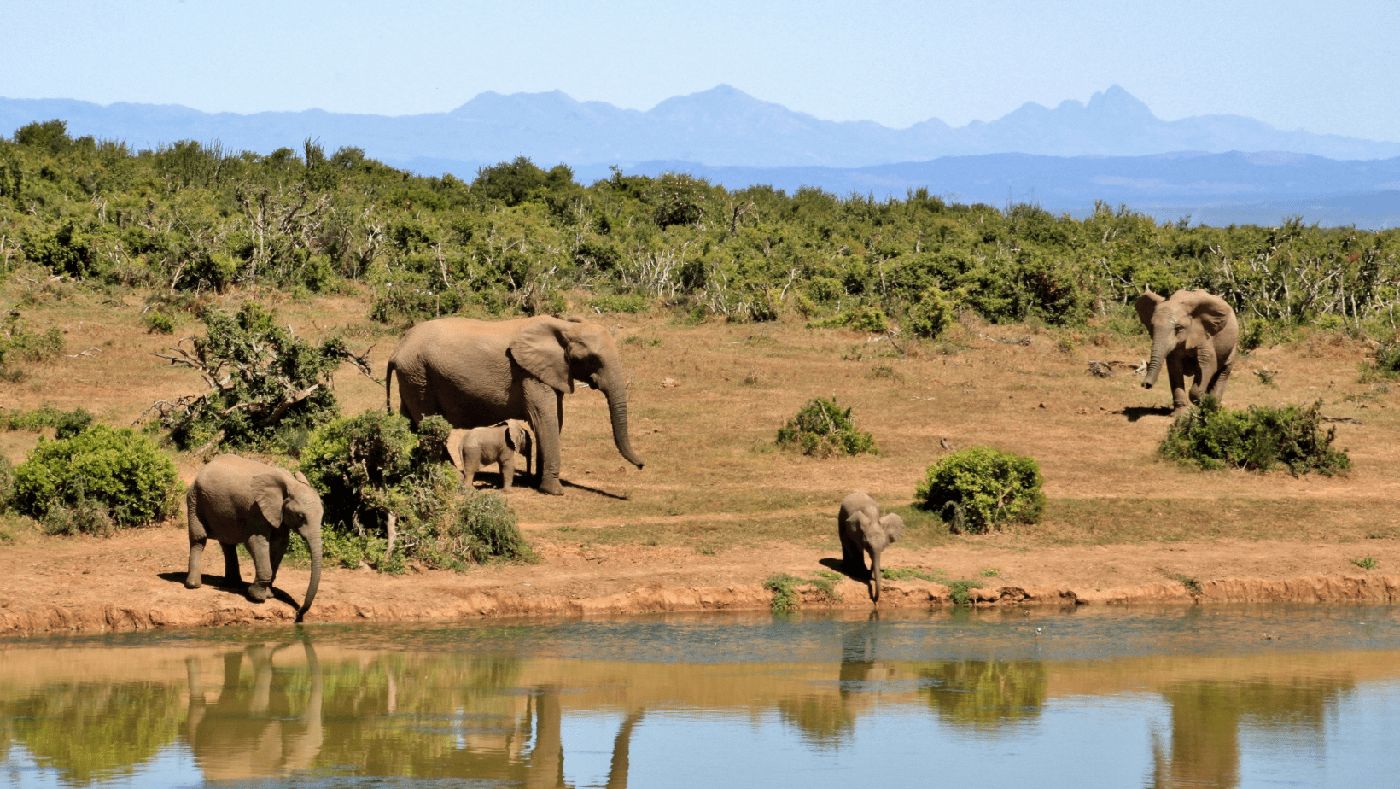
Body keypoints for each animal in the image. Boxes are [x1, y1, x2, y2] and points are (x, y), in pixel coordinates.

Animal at [185, 454, 323, 622]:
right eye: (300, 516)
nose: (298, 614)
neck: (289, 483)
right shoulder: (256, 510)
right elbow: (256, 542)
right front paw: (257, 597)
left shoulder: (278, 514)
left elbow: (279, 545)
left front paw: (269, 595)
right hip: (195, 499)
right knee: (199, 539)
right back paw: (193, 585)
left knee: (228, 544)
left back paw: (232, 585)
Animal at [386, 315, 645, 495]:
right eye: (593, 359)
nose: (642, 465)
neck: (563, 327)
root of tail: (397, 348)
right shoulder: (528, 374)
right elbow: (545, 420)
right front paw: (554, 490)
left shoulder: (549, 372)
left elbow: (555, 420)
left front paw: (538, 482)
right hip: (419, 374)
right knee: (428, 424)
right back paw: (448, 475)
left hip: (412, 377)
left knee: (410, 422)